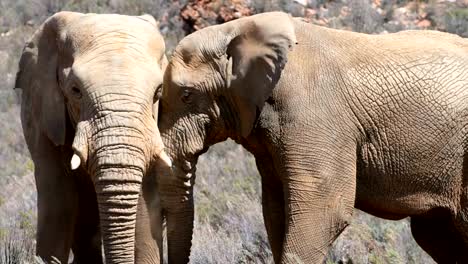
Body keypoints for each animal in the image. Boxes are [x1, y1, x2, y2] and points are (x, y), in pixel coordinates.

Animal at [155, 10, 468, 264]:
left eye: (186, 95)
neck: (238, 30)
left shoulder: (315, 114)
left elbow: (326, 208)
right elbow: (276, 210)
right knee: (435, 235)